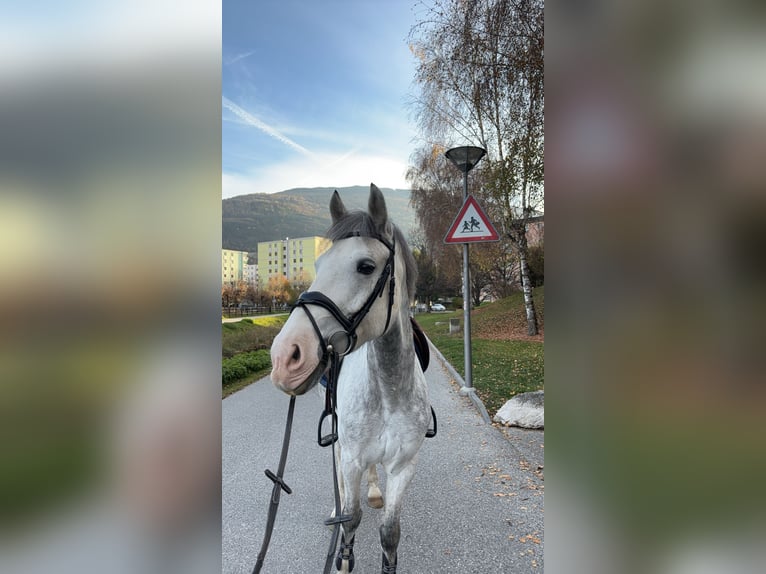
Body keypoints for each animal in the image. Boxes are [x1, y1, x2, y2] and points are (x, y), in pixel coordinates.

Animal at [272, 186, 432, 574]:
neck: (390, 390)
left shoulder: (404, 467)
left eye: (366, 266)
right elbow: (350, 520)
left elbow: (390, 533)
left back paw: (373, 490)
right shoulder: (352, 458)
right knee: (338, 464)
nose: (284, 356)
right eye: (318, 266)